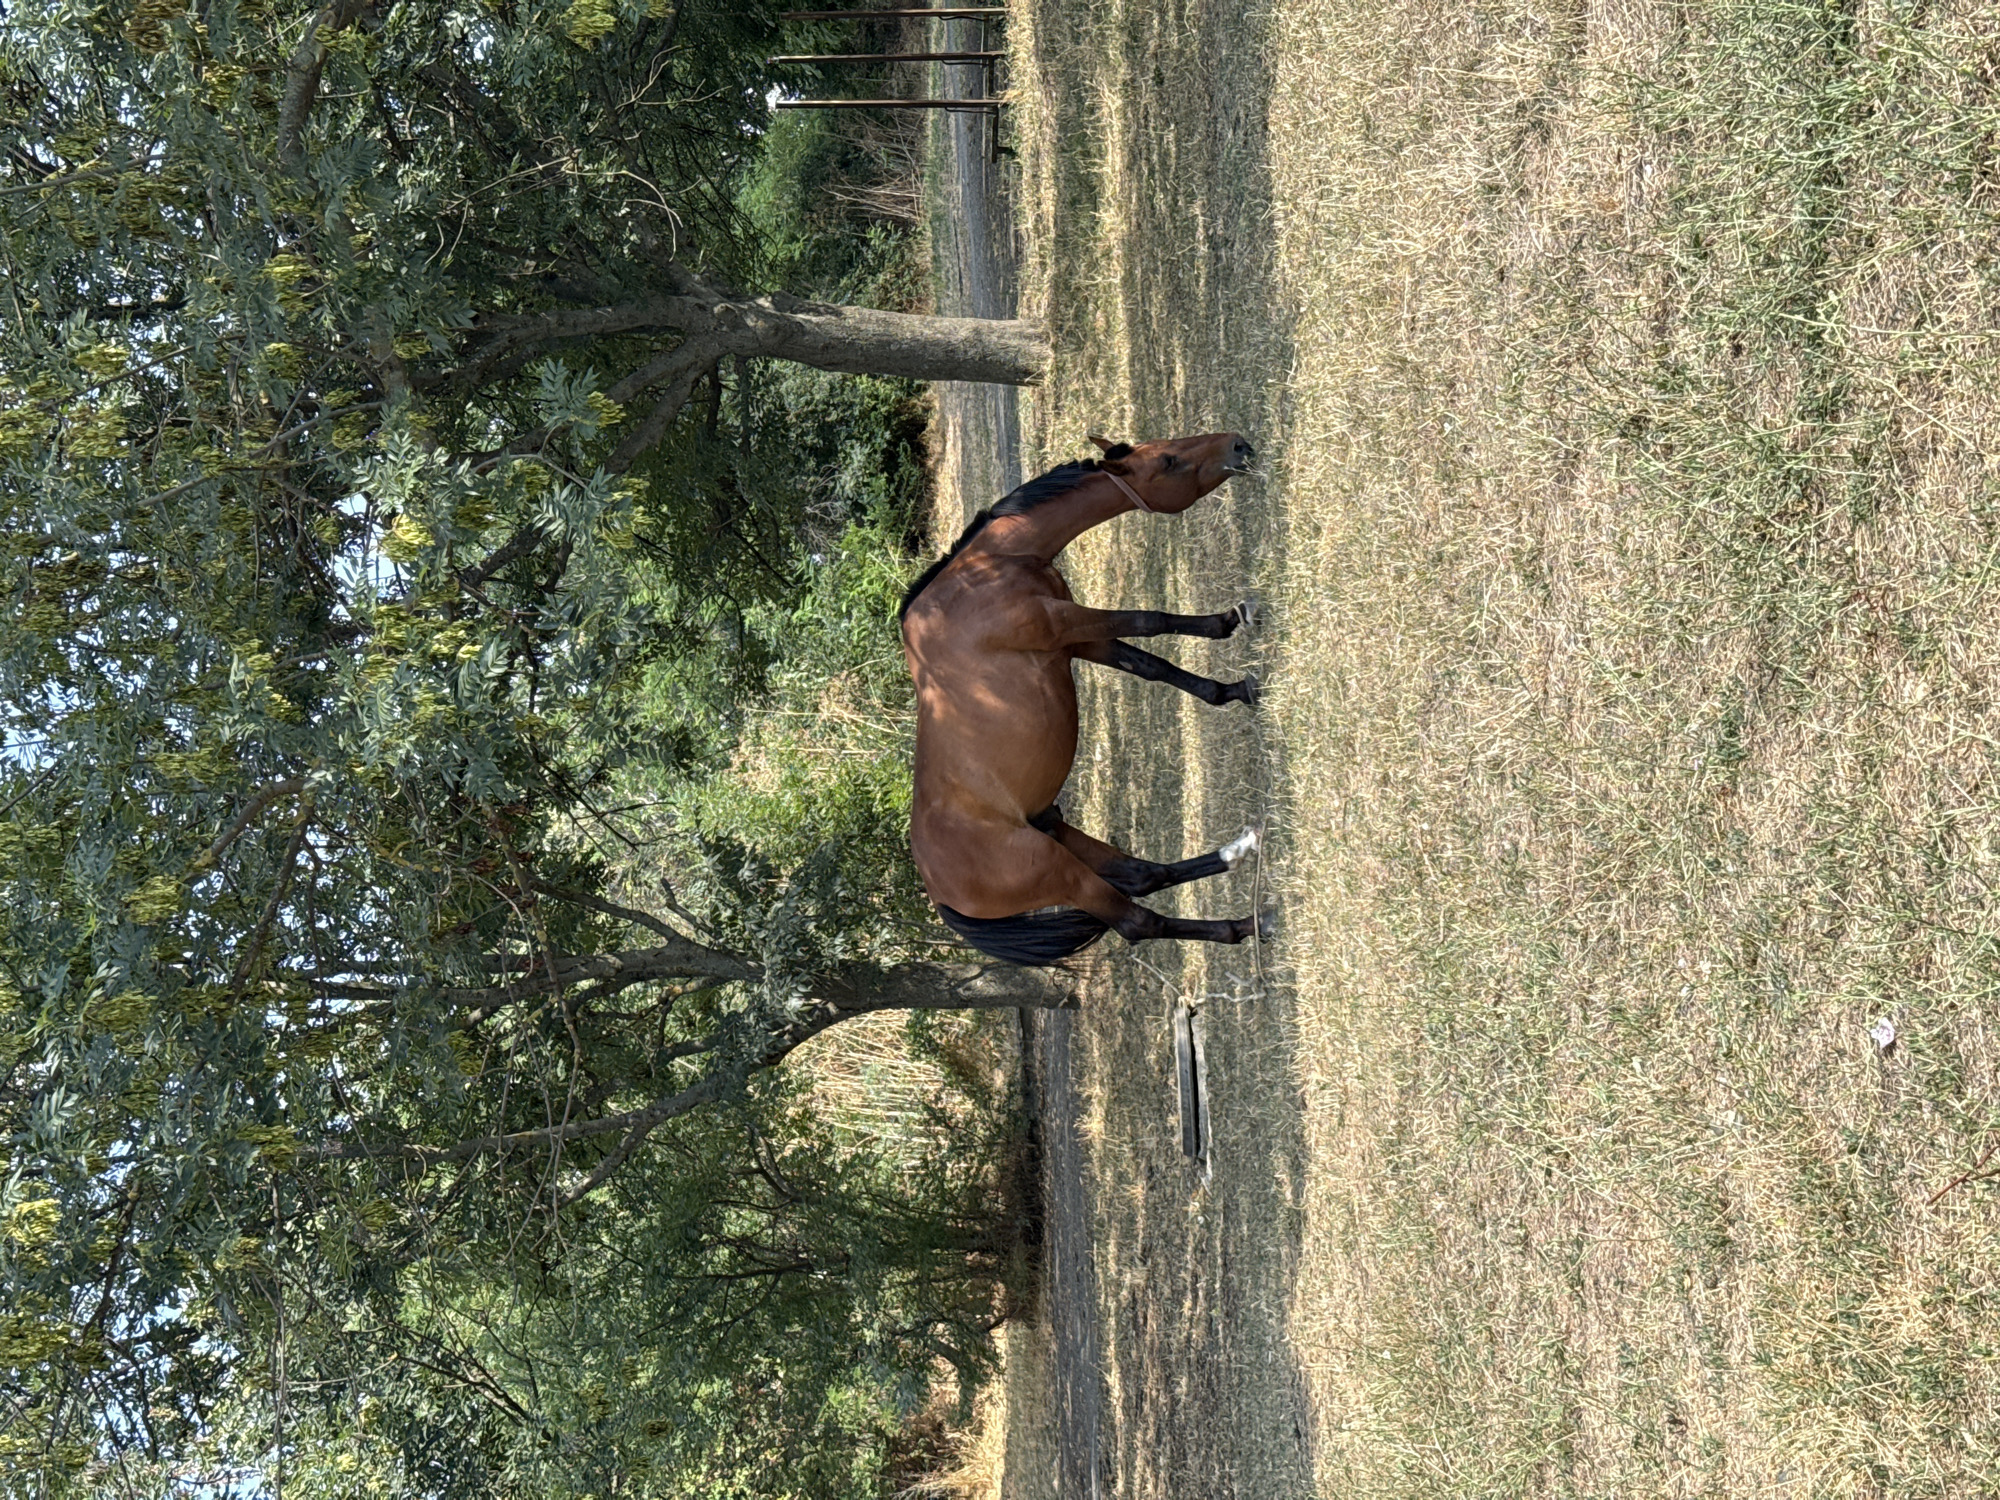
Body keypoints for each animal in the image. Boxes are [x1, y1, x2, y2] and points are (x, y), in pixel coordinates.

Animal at [899, 431, 1270, 967]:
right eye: (1168, 461)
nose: (1238, 445)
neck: (990, 571)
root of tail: (941, 894)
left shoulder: (1075, 643)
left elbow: (1152, 666)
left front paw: (1233, 679)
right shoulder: (1063, 623)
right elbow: (1149, 620)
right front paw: (1231, 632)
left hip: (1059, 833)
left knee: (1144, 873)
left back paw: (1240, 849)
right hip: (1061, 871)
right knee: (1139, 922)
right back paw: (1247, 925)